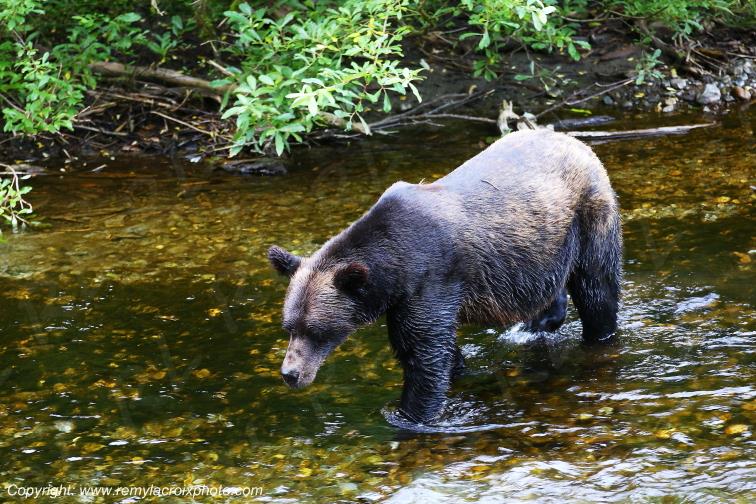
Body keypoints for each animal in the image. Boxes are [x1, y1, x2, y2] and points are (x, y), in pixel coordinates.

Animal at [268, 129, 622, 424]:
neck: (394, 267)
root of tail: (575, 141)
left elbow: (423, 355)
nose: (290, 373)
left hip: (588, 217)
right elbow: (432, 349)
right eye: (289, 326)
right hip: (542, 248)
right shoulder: (404, 300)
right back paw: (539, 323)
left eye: (316, 330)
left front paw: (410, 416)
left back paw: (597, 336)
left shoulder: (431, 279)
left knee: (596, 288)